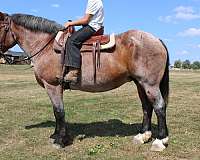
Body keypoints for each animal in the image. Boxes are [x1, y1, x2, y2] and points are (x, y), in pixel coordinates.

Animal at [0, 12, 169, 151]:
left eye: (0, 27)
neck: (46, 46)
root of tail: (156, 39)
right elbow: (56, 112)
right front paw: (56, 135)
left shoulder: (53, 86)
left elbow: (59, 111)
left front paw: (60, 140)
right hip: (140, 84)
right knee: (147, 107)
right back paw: (143, 136)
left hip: (150, 84)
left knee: (159, 107)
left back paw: (160, 141)